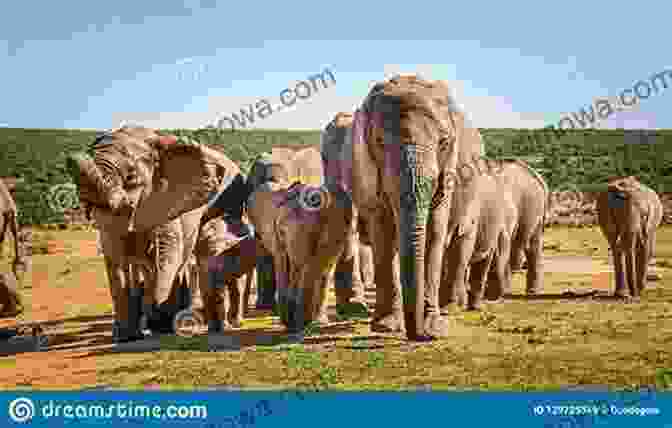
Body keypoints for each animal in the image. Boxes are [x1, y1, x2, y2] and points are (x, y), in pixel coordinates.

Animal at [65, 125, 249, 342]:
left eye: (131, 177)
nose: (73, 155)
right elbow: (116, 259)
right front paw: (126, 336)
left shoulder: (171, 200)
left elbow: (167, 253)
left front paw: (156, 318)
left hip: (232, 197)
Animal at [324, 74, 486, 342]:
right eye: (379, 142)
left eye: (444, 142)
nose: (417, 334)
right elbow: (383, 231)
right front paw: (387, 326)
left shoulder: (449, 172)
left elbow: (434, 232)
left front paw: (433, 327)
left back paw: (450, 307)